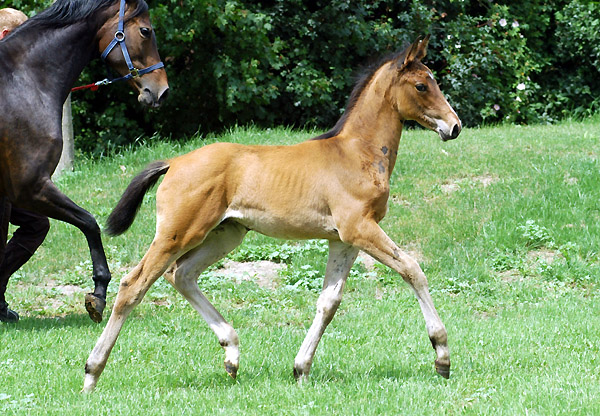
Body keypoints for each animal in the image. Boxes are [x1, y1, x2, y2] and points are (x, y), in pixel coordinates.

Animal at [0, 0, 169, 322]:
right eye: (146, 30)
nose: (162, 91)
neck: (23, 82)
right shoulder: (32, 188)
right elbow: (90, 222)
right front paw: (98, 294)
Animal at [82, 35, 462, 390]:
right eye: (422, 85)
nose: (454, 126)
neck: (357, 154)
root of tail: (174, 162)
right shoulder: (360, 228)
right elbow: (413, 269)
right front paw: (442, 355)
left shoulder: (344, 239)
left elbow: (329, 301)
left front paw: (301, 368)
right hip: (177, 233)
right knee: (134, 285)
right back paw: (92, 372)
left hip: (226, 234)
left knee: (182, 274)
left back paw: (232, 354)